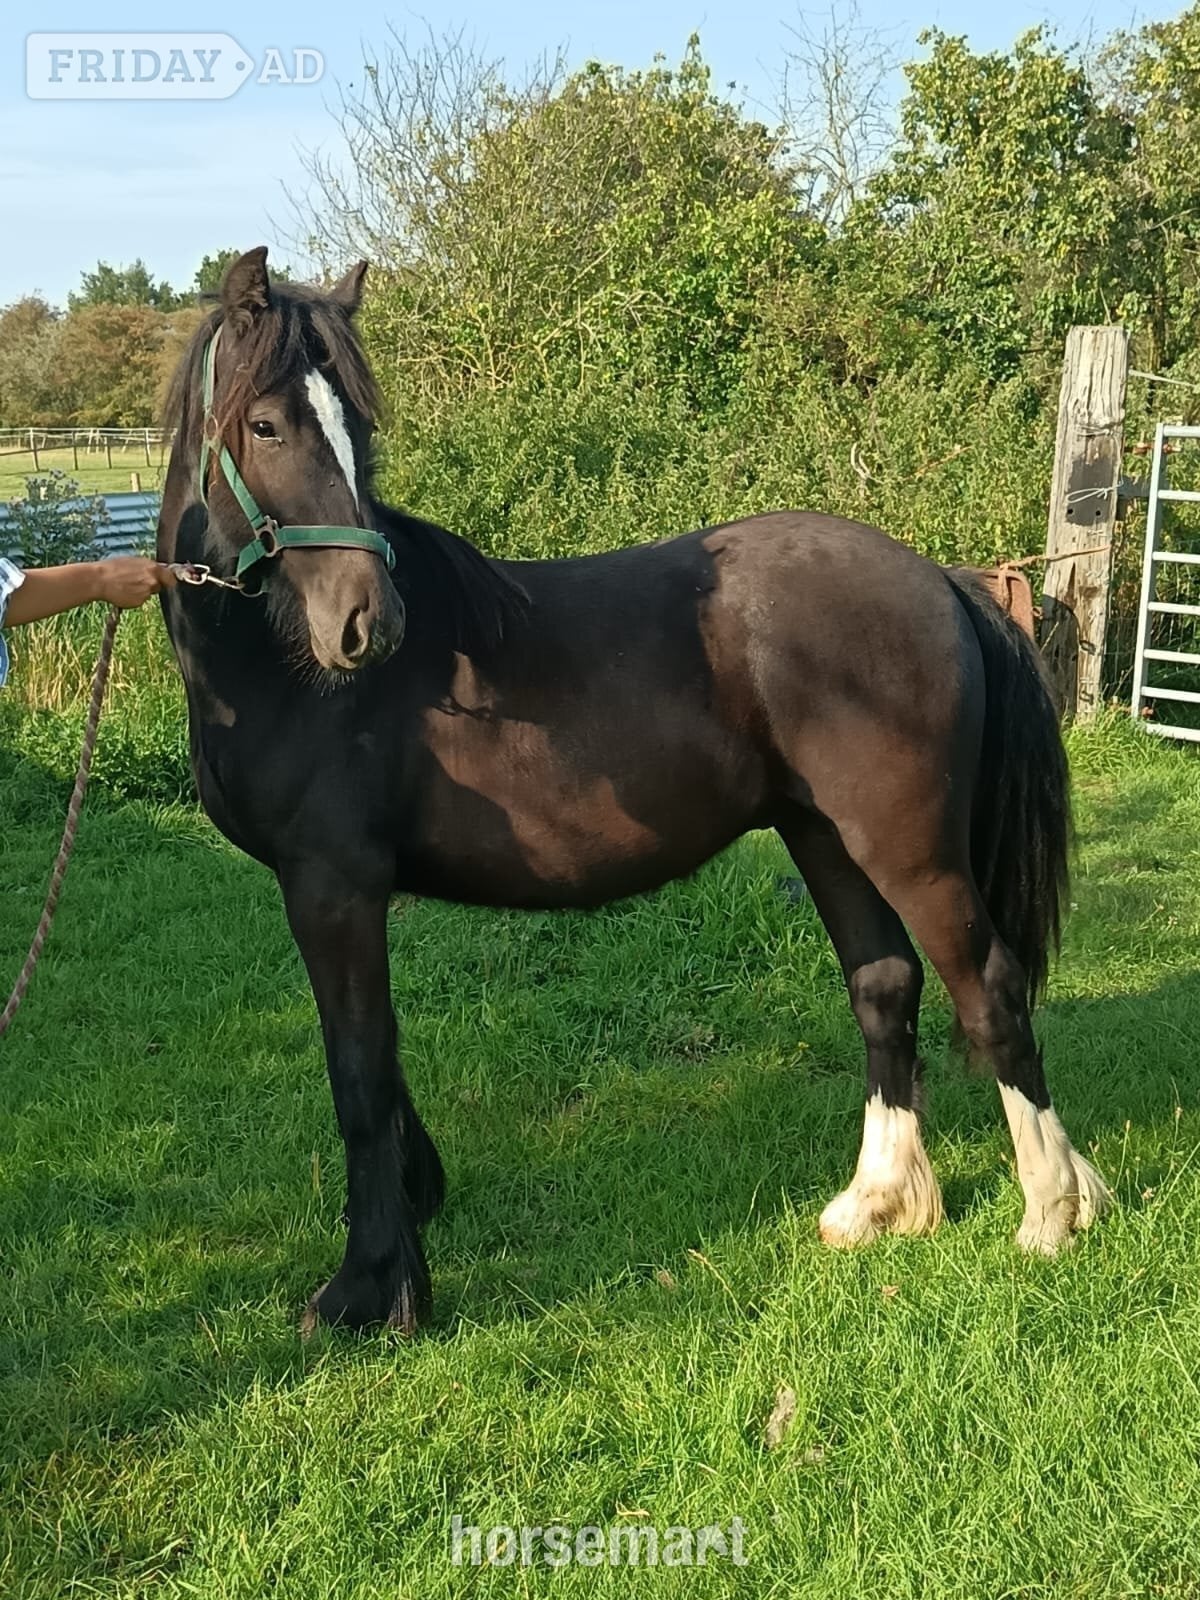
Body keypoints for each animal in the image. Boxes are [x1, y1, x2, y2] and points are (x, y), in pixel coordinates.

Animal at [156, 247, 1109, 1334]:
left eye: (357, 426)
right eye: (269, 425)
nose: (369, 622)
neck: (280, 665)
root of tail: (940, 581)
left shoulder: (330, 885)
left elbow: (357, 1072)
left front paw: (368, 1287)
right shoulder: (343, 894)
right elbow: (381, 1063)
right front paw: (410, 1222)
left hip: (908, 849)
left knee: (987, 988)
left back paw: (1052, 1212)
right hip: (824, 835)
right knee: (884, 985)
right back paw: (877, 1204)